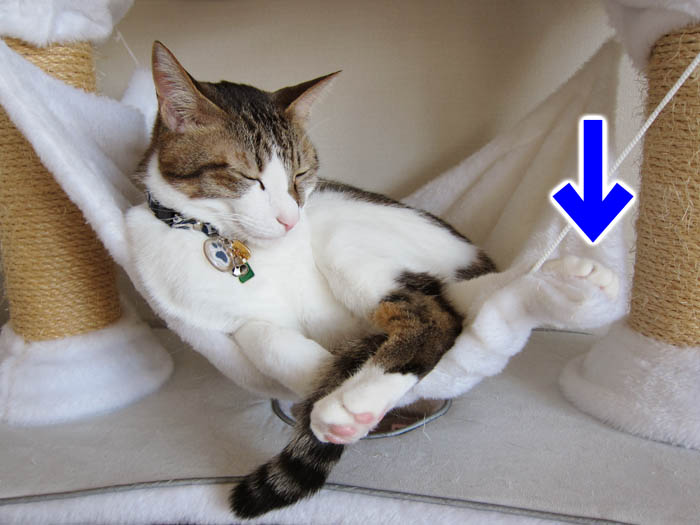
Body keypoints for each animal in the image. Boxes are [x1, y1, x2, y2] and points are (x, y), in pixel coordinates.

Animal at [125, 42, 620, 519]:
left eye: (300, 174)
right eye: (248, 176)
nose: (291, 219)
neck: (233, 245)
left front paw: (329, 379)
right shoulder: (199, 310)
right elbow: (257, 333)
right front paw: (314, 369)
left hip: (349, 242)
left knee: (438, 314)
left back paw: (352, 403)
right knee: (466, 302)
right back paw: (563, 287)